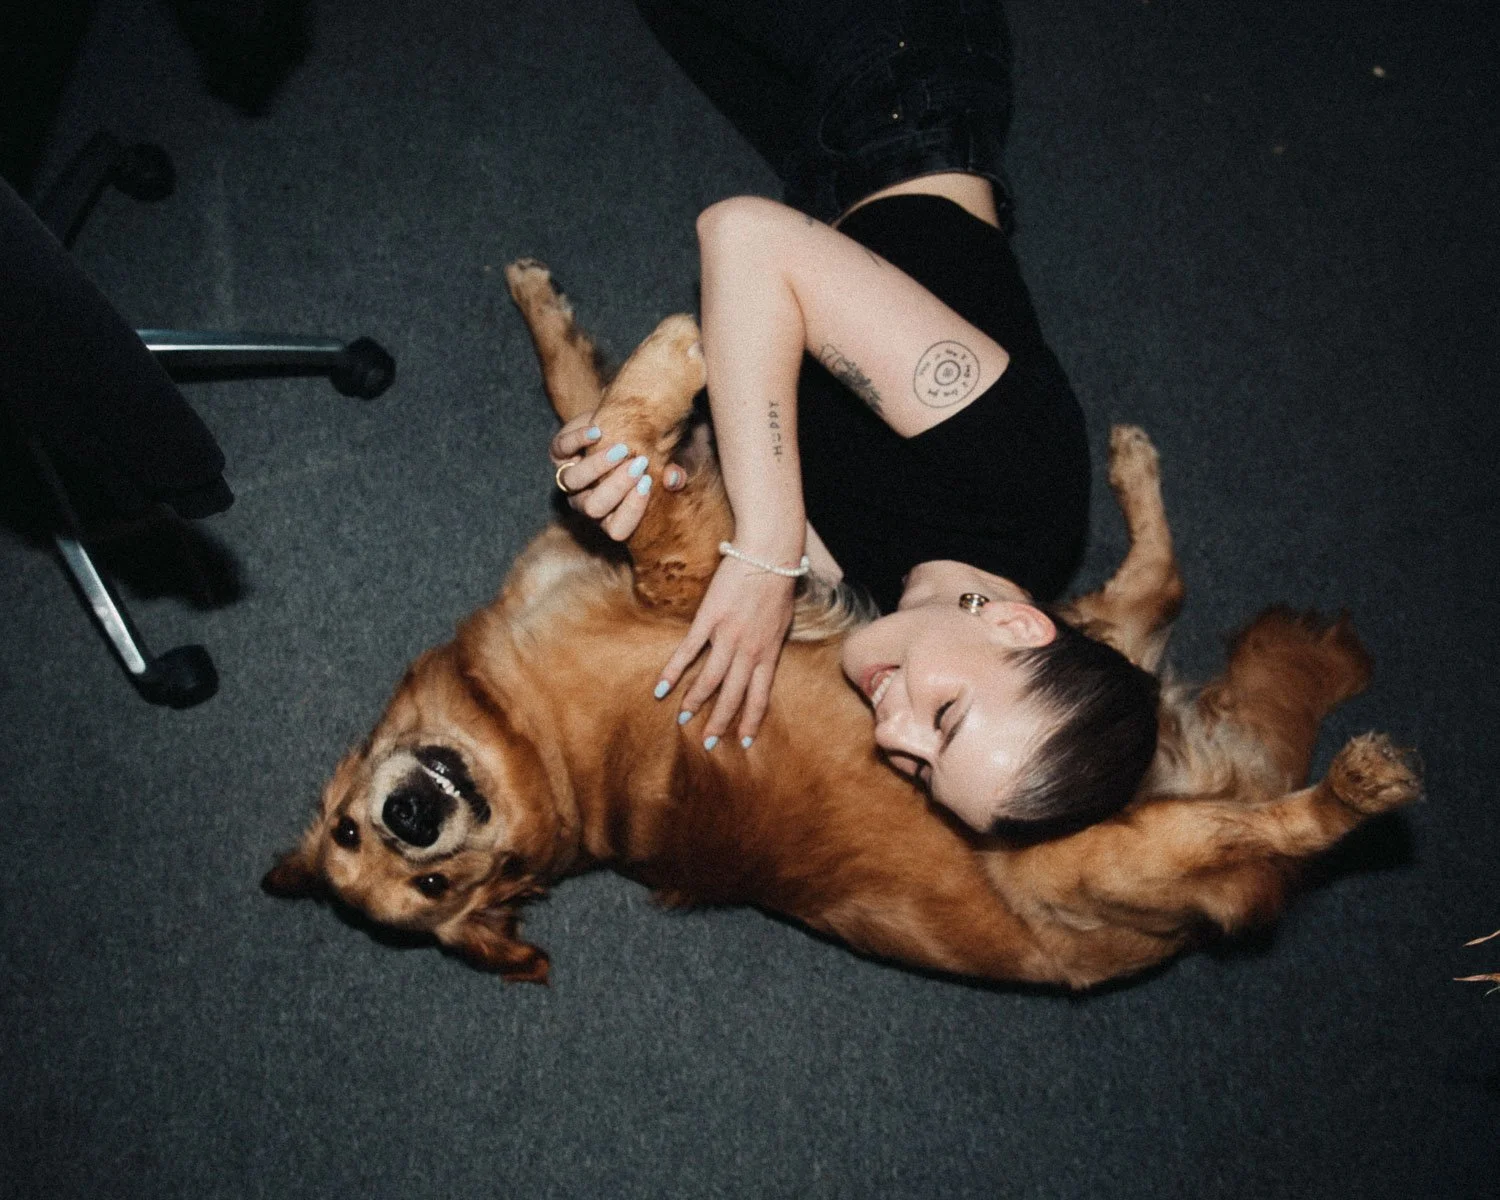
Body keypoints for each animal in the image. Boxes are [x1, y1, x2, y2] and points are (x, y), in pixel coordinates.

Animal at [262, 260, 1421, 988]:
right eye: (430, 885)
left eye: (355, 832)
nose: (416, 818)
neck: (535, 752)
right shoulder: (692, 571)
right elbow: (625, 457)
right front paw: (681, 350)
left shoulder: (640, 550)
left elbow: (582, 415)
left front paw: (554, 309)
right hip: (1104, 850)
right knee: (1266, 810)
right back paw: (1354, 787)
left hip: (1067, 628)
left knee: (1158, 588)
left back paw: (1133, 467)